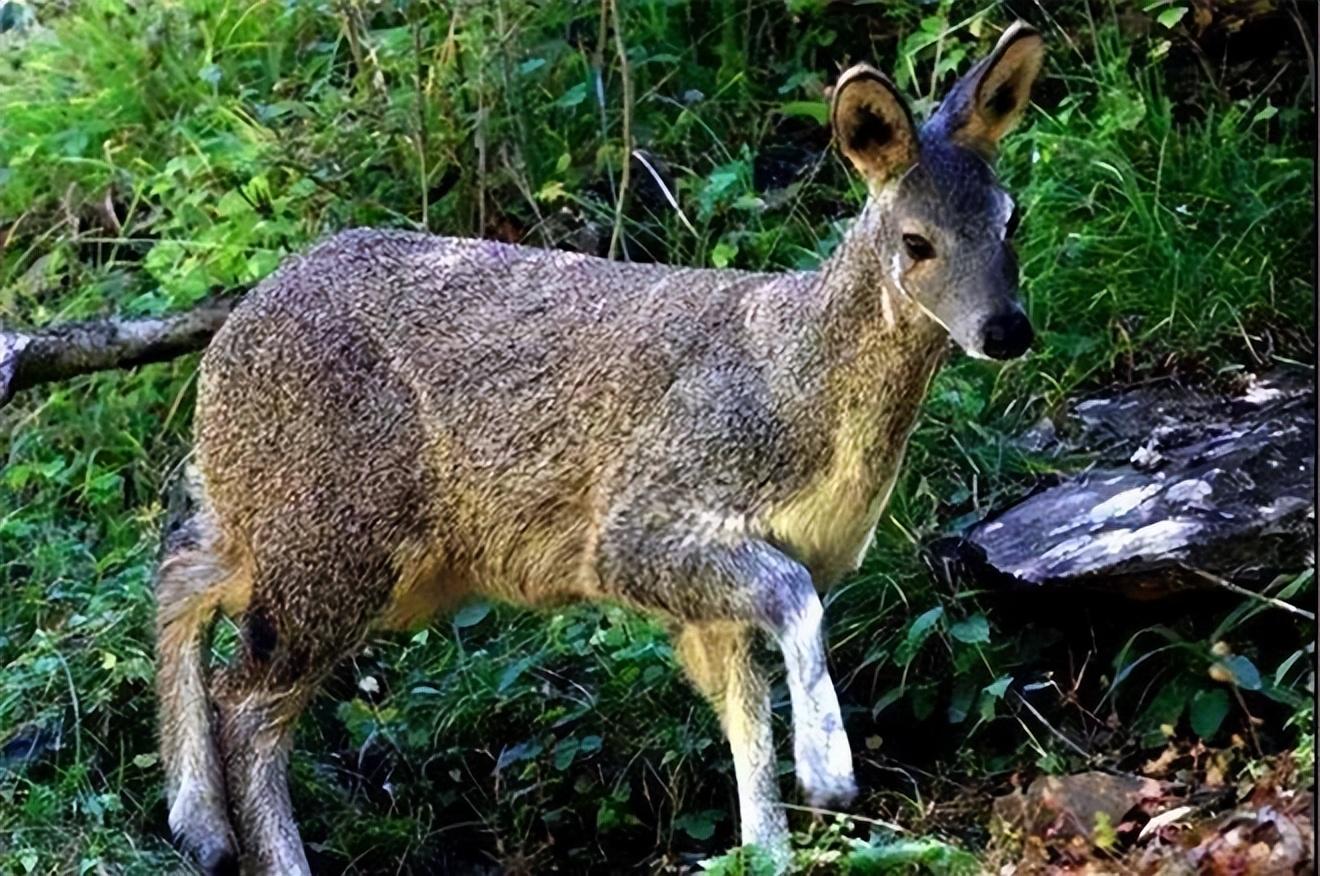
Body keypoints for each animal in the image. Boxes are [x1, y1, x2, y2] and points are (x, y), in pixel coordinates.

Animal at [154, 23, 1040, 870]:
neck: (800, 393)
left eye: (1011, 218)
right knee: (248, 702)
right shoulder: (637, 522)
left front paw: (770, 847)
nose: (1007, 330)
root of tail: (223, 350)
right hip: (341, 537)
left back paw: (198, 823)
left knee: (182, 563)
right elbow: (790, 608)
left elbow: (744, 717)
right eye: (917, 242)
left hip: (301, 531)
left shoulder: (732, 589)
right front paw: (829, 771)